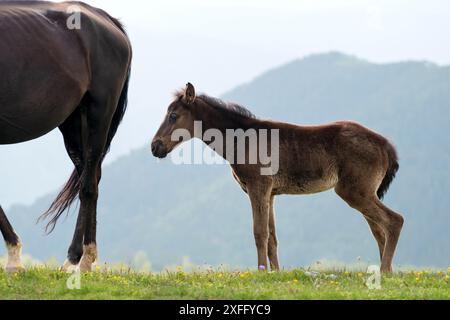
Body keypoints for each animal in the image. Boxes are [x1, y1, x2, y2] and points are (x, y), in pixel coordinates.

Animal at [0, 1, 133, 272]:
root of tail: (108, 20)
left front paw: (14, 258)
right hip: (73, 123)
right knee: (89, 177)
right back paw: (74, 258)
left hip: (99, 115)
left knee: (89, 185)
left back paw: (85, 259)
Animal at [152, 84, 404, 274]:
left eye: (174, 116)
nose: (155, 146)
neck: (241, 141)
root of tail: (387, 146)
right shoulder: (271, 193)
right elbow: (272, 236)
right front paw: (275, 272)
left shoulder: (258, 187)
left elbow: (259, 232)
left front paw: (261, 271)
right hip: (363, 192)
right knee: (379, 229)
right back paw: (387, 271)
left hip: (354, 191)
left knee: (394, 221)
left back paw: (384, 271)